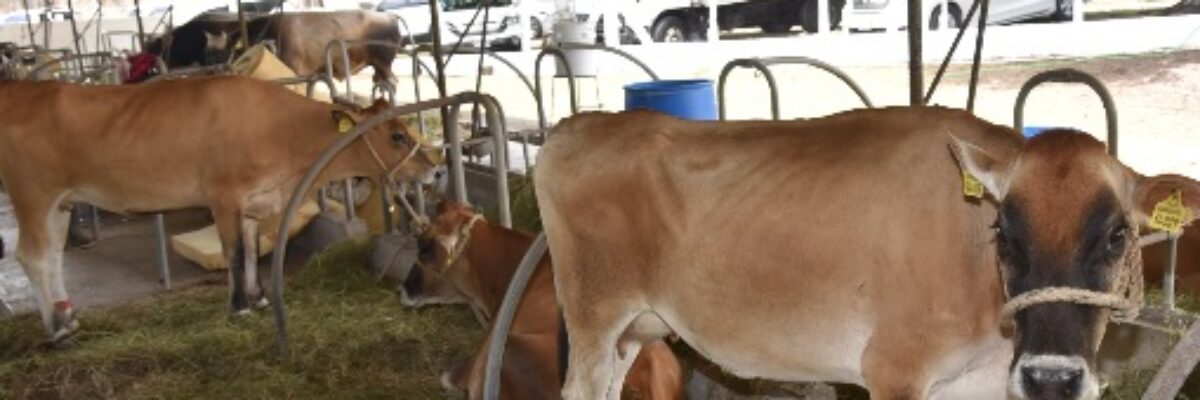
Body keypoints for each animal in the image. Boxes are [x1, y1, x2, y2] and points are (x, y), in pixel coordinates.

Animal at [0, 76, 440, 344]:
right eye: (397, 136)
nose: (435, 169)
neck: (283, 132)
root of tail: (20, 89)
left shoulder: (251, 204)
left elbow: (251, 252)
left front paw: (259, 298)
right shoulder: (224, 196)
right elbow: (236, 253)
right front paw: (240, 307)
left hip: (62, 202)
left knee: (53, 258)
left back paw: (69, 318)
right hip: (33, 195)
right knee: (33, 257)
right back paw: (57, 332)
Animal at [534, 107, 1200, 400]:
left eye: (1117, 235)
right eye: (1003, 233)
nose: (1052, 378)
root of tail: (578, 123)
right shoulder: (894, 370)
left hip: (633, 329)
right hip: (594, 318)